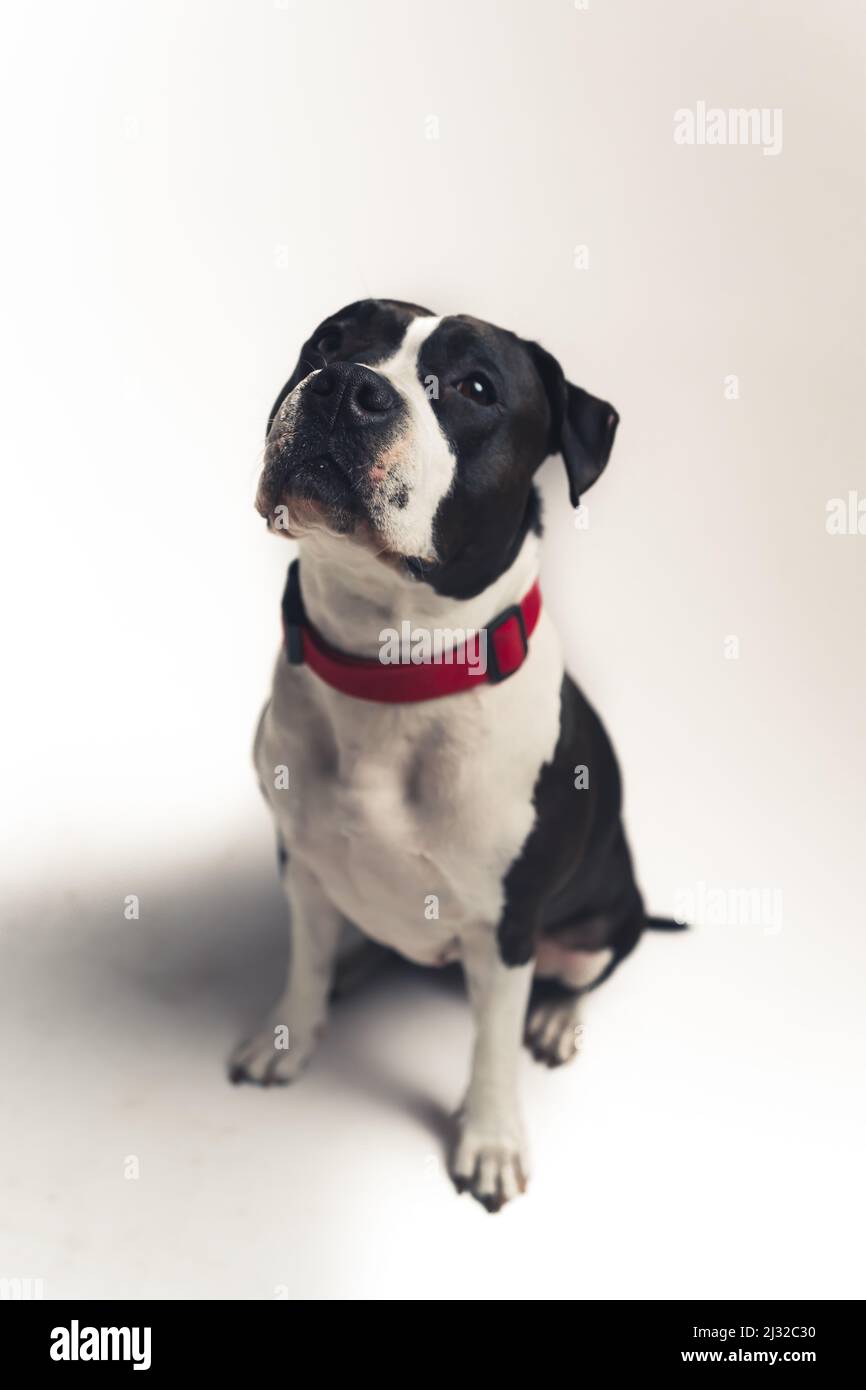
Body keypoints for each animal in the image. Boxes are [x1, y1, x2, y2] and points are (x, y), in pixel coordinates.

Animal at [232, 298, 683, 1212]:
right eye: (330, 341)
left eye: (477, 388)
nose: (346, 387)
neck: (388, 667)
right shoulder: (300, 858)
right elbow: (303, 959)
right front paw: (291, 1034)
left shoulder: (506, 926)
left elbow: (491, 1044)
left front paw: (492, 1138)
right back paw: (356, 963)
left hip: (601, 920)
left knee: (582, 972)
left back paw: (557, 1018)